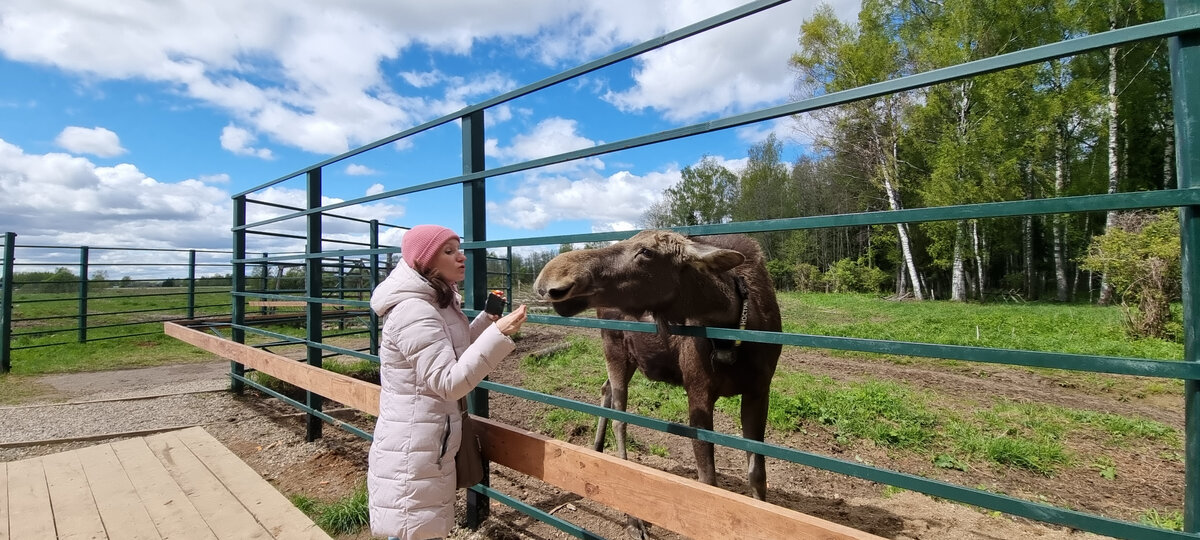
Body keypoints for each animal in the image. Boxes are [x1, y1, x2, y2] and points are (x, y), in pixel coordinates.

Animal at [532, 230, 777, 537]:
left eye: (647, 252)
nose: (553, 276)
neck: (732, 326)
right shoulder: (698, 391)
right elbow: (708, 481)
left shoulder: (760, 391)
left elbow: (758, 475)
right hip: (613, 348)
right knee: (620, 418)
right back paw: (632, 518)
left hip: (630, 358)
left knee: (605, 390)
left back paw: (597, 450)